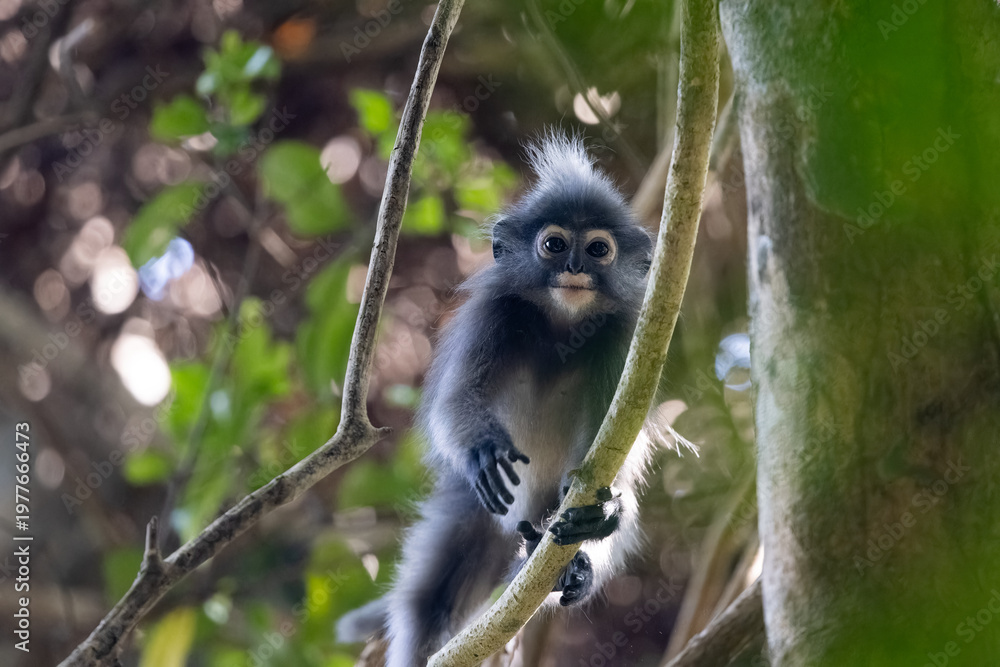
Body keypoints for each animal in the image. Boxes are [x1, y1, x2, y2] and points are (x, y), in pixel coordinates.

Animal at [337, 132, 657, 667]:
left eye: (598, 249)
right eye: (553, 245)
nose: (574, 267)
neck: (561, 325)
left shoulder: (623, 338)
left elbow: (618, 447)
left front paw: (608, 511)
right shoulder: (494, 315)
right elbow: (455, 402)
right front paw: (484, 450)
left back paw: (576, 565)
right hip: (470, 511)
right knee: (430, 601)